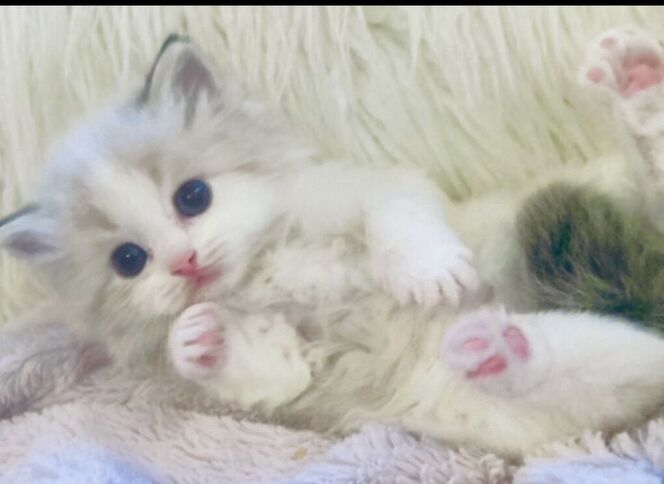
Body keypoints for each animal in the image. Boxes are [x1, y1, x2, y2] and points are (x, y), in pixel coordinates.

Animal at [2, 27, 664, 456]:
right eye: (129, 261)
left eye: (192, 197)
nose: (185, 264)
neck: (262, 266)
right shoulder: (296, 368)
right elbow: (265, 366)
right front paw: (198, 339)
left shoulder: (365, 187)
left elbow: (397, 220)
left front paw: (428, 273)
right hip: (564, 386)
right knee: (602, 357)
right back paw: (497, 345)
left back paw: (635, 79)